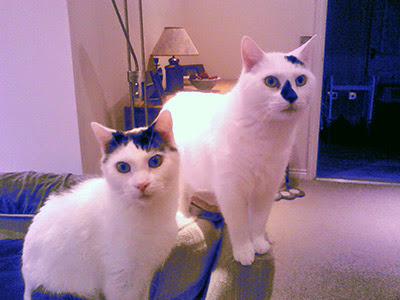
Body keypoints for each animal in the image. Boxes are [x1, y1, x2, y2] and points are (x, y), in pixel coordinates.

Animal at [21, 110, 178, 300]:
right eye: (123, 167)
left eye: (155, 161)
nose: (142, 184)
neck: (149, 218)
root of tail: (26, 282)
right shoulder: (121, 280)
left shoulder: (146, 274)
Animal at [162, 35, 316, 264]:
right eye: (271, 81)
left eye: (300, 80)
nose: (291, 96)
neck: (267, 135)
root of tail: (176, 96)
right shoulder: (232, 191)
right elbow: (239, 225)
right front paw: (244, 251)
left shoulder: (266, 190)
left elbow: (258, 222)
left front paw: (259, 244)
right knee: (181, 197)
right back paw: (183, 217)